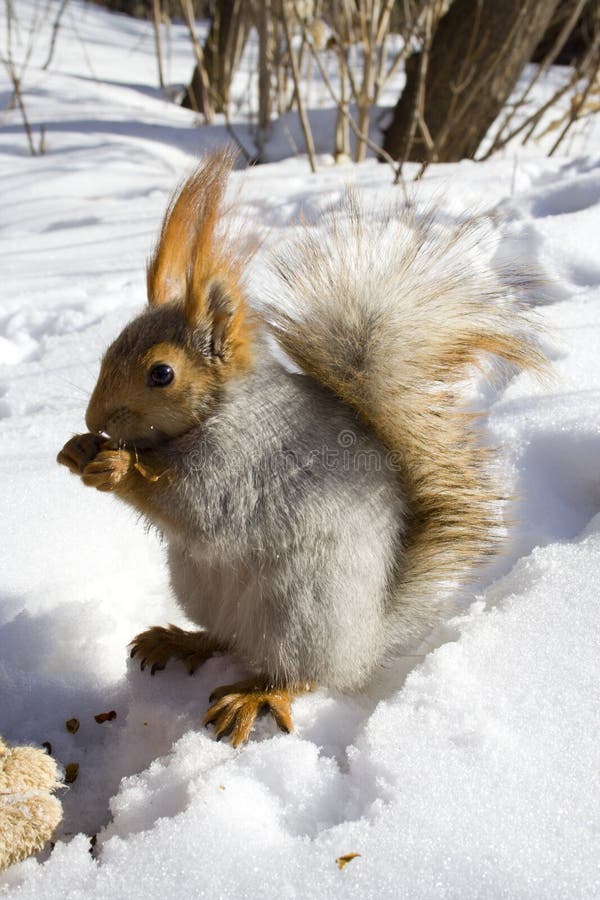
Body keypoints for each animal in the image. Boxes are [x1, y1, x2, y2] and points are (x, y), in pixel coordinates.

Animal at [56, 151, 544, 748]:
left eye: (161, 374)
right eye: (108, 349)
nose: (94, 420)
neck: (225, 410)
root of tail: (366, 641)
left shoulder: (241, 465)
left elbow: (193, 504)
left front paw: (117, 465)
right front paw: (79, 449)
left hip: (300, 611)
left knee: (299, 675)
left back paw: (256, 696)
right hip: (205, 590)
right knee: (228, 639)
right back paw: (182, 640)